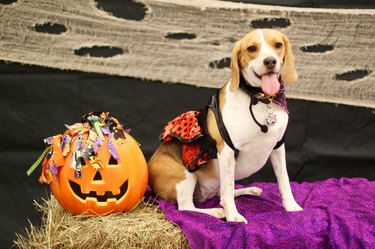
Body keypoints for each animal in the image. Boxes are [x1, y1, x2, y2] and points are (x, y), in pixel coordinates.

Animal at [148, 28, 304, 223]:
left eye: (278, 45)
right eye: (252, 48)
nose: (270, 61)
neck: (260, 99)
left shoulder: (277, 148)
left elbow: (284, 181)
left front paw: (291, 206)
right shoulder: (228, 152)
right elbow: (227, 190)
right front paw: (233, 216)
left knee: (219, 194)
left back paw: (248, 190)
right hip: (185, 177)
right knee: (187, 207)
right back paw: (216, 211)